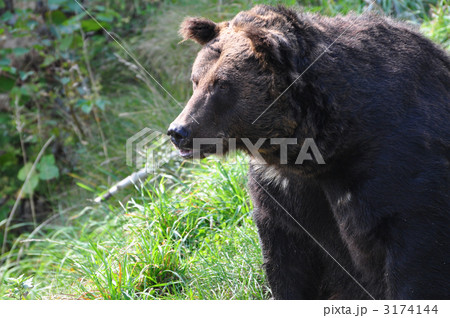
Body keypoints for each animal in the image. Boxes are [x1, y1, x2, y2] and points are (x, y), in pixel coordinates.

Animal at [167, 3, 448, 300]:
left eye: (221, 84)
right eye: (196, 80)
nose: (178, 131)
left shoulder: (397, 164)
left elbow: (417, 257)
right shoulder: (286, 192)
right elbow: (287, 262)